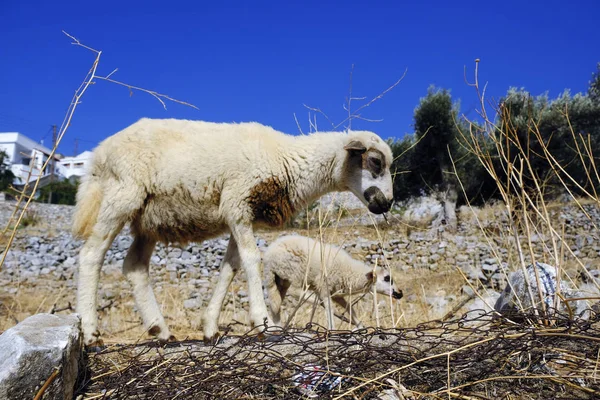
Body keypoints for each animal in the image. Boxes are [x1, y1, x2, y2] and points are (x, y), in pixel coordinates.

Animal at [262, 234, 404, 328]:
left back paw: (278, 327)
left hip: (280, 279)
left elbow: (349, 307)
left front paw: (359, 325)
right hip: (294, 273)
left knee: (276, 304)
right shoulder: (324, 287)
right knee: (296, 292)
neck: (349, 272)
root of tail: (269, 255)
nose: (400, 293)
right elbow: (330, 309)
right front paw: (332, 329)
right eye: (387, 278)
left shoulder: (336, 293)